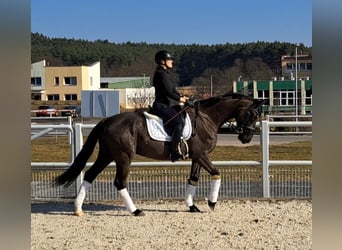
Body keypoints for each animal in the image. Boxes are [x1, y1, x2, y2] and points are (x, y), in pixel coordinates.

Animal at [55, 93, 264, 216]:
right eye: (252, 114)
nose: (246, 137)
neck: (206, 118)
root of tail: (106, 121)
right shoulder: (202, 154)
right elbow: (216, 173)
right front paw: (212, 203)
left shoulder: (197, 157)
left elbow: (193, 179)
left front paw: (192, 206)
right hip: (123, 156)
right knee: (120, 182)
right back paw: (136, 211)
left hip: (107, 155)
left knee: (90, 175)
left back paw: (78, 209)